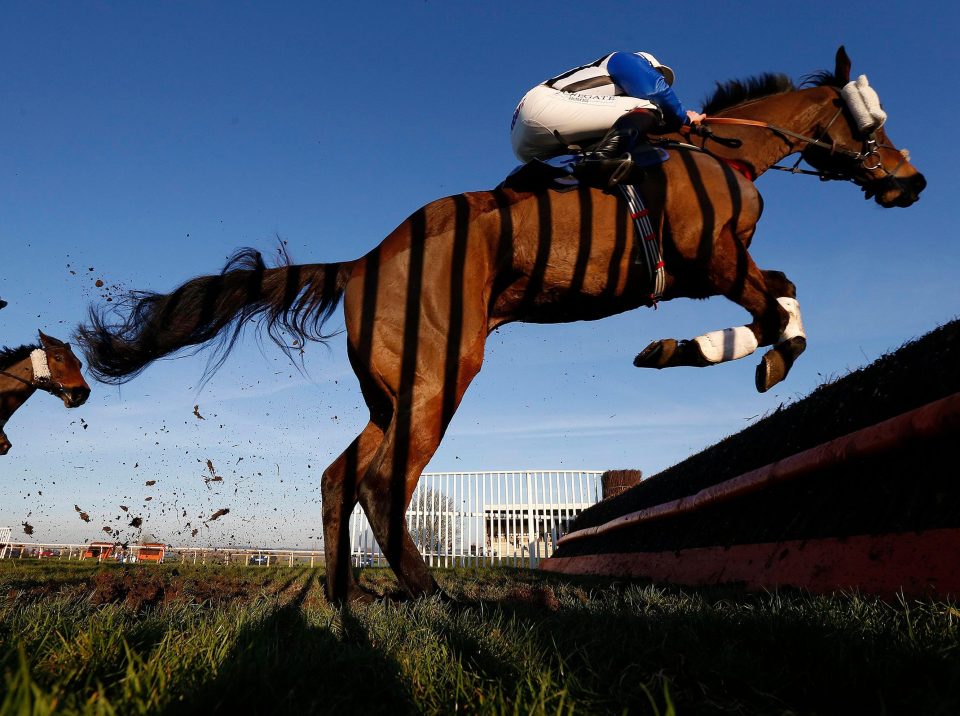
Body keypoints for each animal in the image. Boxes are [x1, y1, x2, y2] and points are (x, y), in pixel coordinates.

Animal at [79, 47, 928, 600]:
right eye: (874, 123)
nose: (911, 182)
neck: (724, 151)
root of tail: (364, 261)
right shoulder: (711, 261)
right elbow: (773, 302)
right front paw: (724, 354)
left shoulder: (715, 268)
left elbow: (781, 292)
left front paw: (710, 350)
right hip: (440, 376)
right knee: (383, 481)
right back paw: (429, 591)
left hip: (393, 390)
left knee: (340, 475)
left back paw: (344, 595)